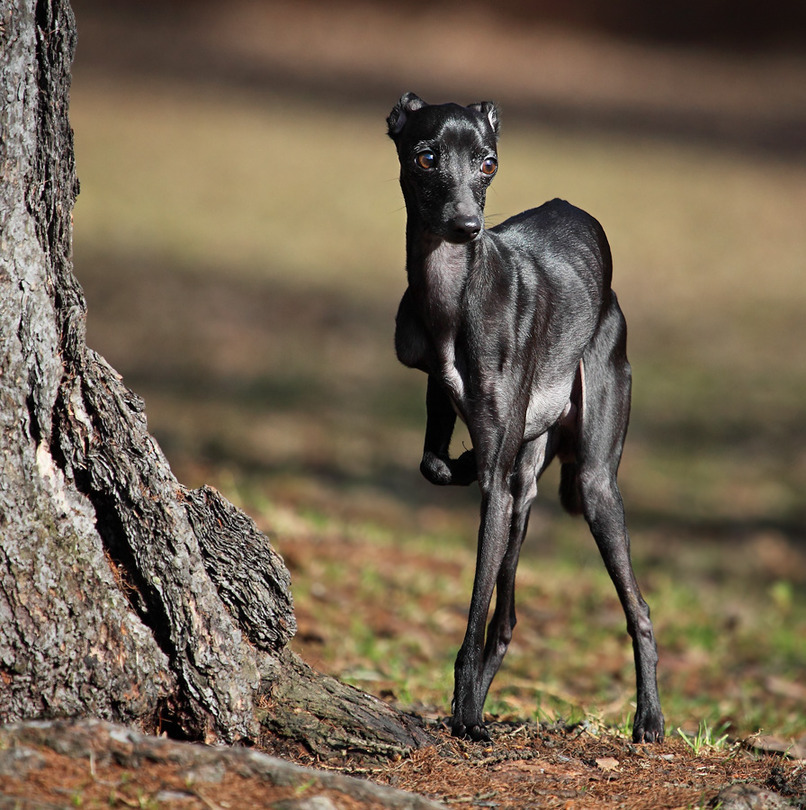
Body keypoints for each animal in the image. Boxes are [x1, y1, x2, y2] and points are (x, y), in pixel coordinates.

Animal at [390, 91, 664, 740]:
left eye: (488, 163)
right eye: (425, 155)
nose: (467, 227)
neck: (453, 296)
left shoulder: (497, 482)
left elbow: (472, 612)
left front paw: (466, 720)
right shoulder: (442, 394)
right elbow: (433, 463)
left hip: (595, 478)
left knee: (637, 607)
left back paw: (648, 719)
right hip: (527, 491)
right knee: (508, 616)